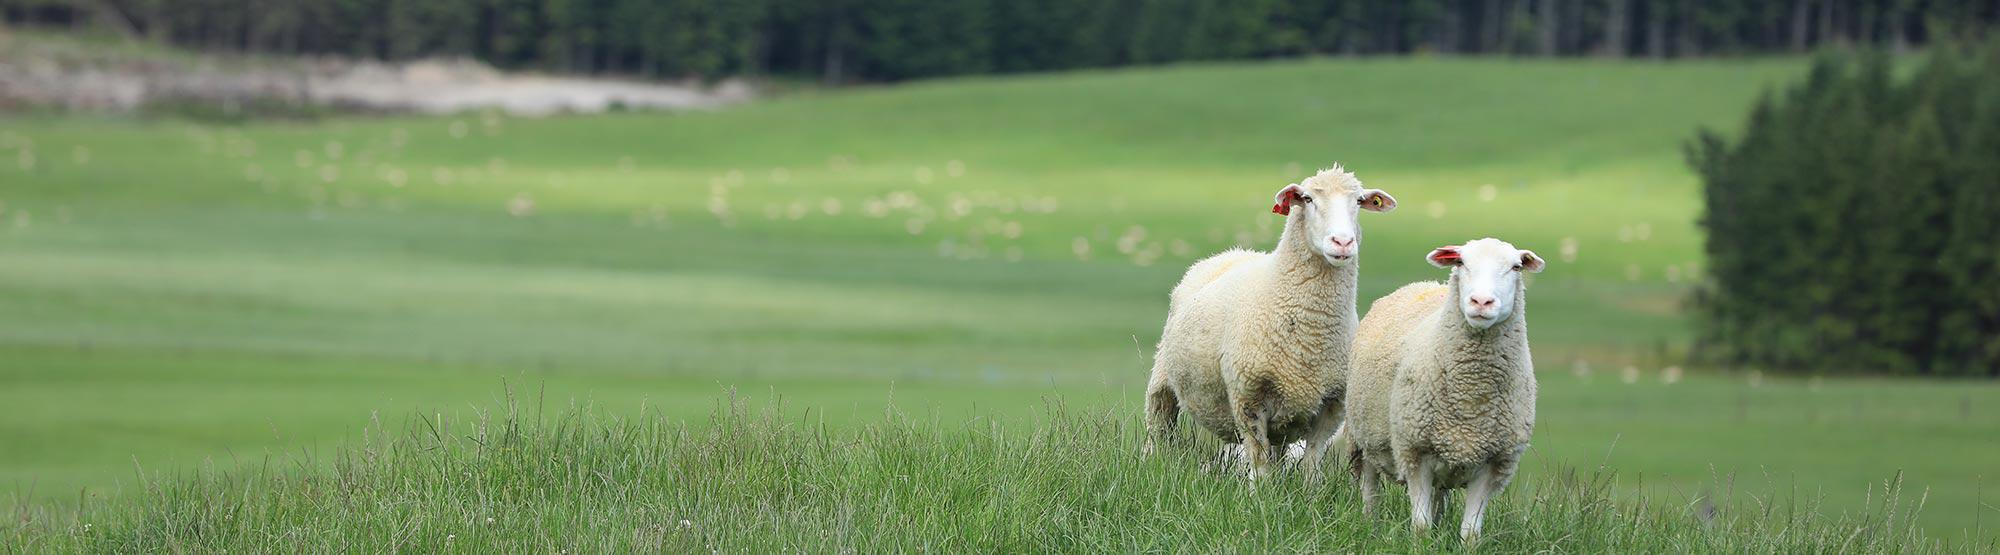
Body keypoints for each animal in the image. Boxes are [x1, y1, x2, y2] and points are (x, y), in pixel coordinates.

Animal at [1142, 166, 1396, 481]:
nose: (1343, 242)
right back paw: (1151, 464)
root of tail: (1234, 252)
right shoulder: (1247, 398)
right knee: (1157, 429)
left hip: (1284, 420)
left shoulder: (1332, 403)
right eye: (1308, 199)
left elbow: (1312, 464)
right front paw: (1260, 492)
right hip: (1162, 378)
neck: (1310, 333)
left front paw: (1307, 491)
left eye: (1360, 201)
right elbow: (1260, 464)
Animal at [1344, 237, 1546, 540]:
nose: (1481, 301)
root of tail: (1422, 284)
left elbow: (1471, 533)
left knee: (1440, 496)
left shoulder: (1495, 464)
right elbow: (1420, 526)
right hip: (1363, 439)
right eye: (1461, 262)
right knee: (1370, 490)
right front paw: (1421, 543)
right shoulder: (1414, 453)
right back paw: (1371, 527)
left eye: (1516, 267)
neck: (1472, 397)